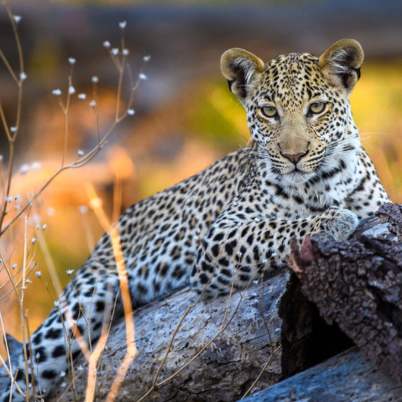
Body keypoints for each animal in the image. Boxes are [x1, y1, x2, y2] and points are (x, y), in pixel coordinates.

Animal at [0, 38, 390, 398]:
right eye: (269, 112)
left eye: (317, 108)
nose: (293, 155)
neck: (321, 183)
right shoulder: (220, 239)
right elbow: (275, 227)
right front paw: (333, 219)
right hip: (81, 303)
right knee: (23, 375)